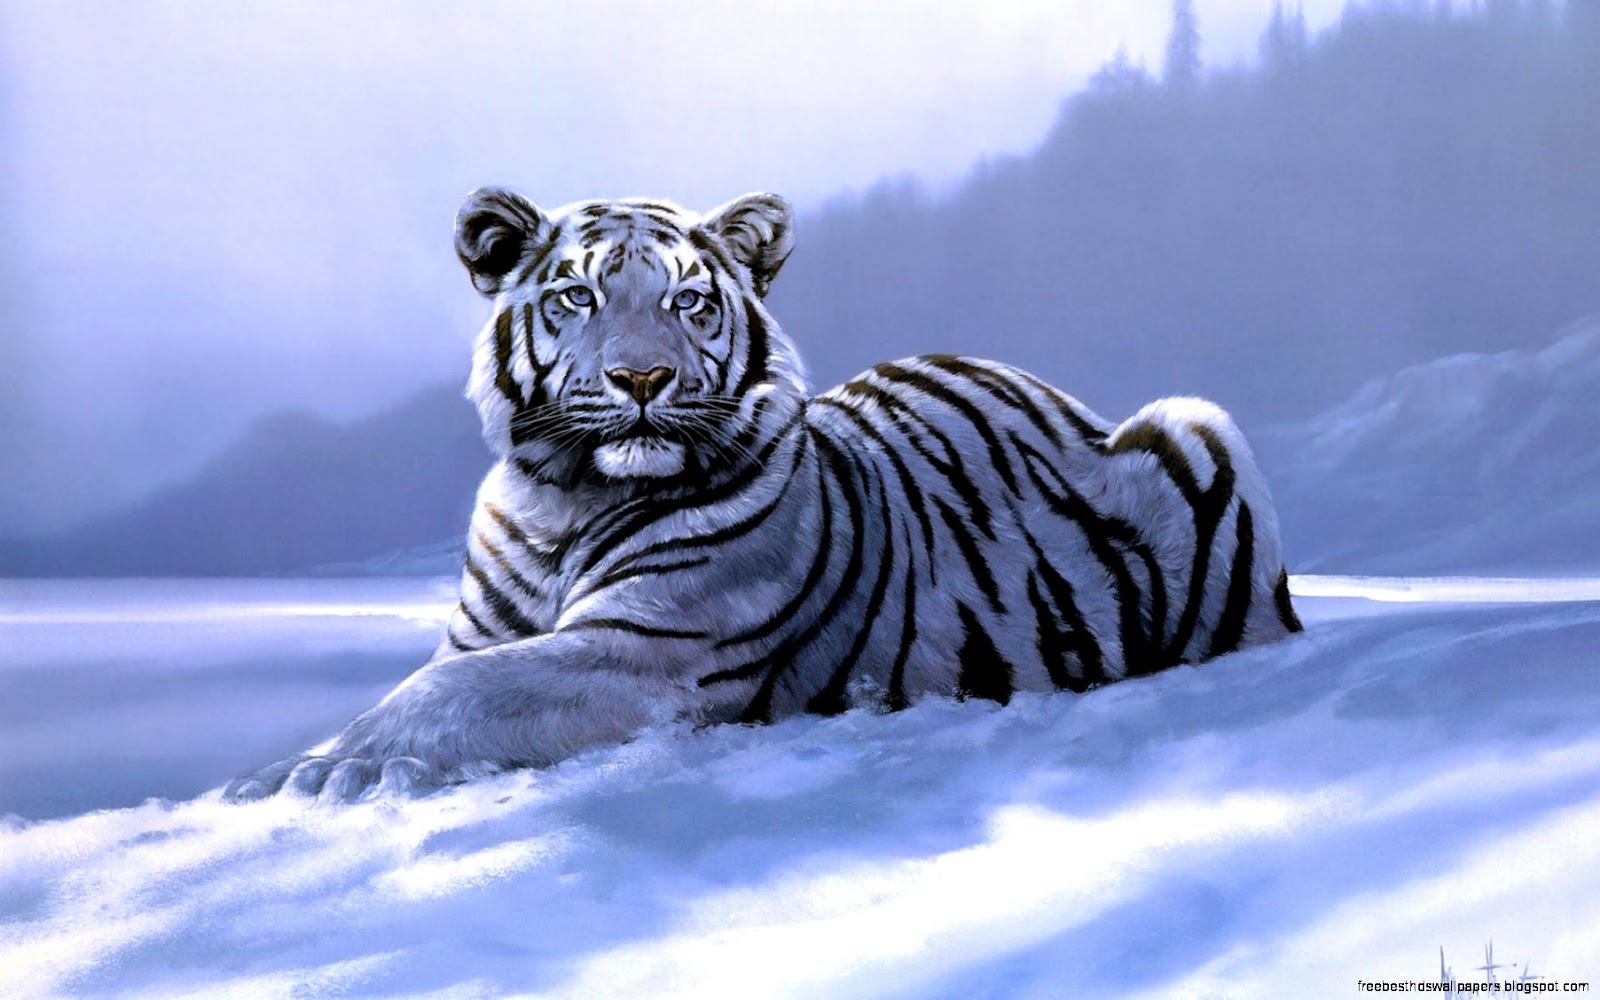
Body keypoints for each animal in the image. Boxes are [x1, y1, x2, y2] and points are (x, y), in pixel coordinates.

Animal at [225, 188, 1304, 802]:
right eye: (577, 296)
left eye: (688, 300)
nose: (642, 378)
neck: (563, 501)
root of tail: (1056, 391)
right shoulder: (487, 629)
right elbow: (442, 675)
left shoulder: (646, 648)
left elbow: (450, 691)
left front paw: (313, 771)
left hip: (1198, 425)